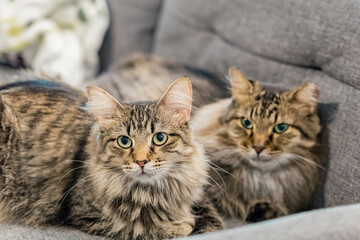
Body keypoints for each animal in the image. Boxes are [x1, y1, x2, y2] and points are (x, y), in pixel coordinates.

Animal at [0, 78, 222, 239]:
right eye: (124, 141)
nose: (141, 161)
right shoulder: (86, 216)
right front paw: (183, 225)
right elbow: (144, 227)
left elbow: (213, 222)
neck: (155, 193)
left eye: (160, 138)